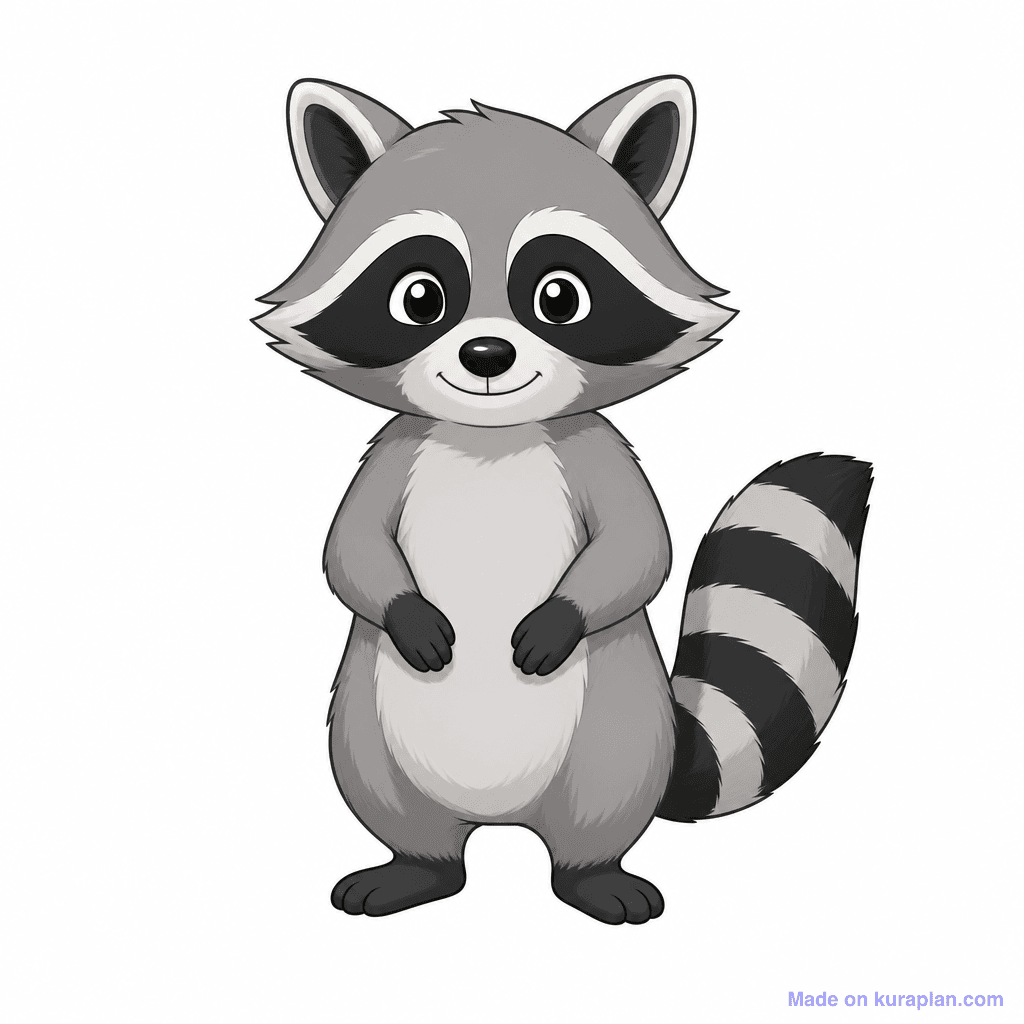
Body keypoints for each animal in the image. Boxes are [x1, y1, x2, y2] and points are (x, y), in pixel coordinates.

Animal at [254, 76, 872, 925]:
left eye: (559, 295)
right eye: (420, 297)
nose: (487, 355)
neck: (492, 437)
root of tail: (501, 819)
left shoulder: (596, 450)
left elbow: (640, 549)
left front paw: (562, 617)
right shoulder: (394, 450)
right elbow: (349, 549)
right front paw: (405, 609)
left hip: (619, 730)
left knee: (601, 805)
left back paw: (592, 874)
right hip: (366, 730)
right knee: (393, 801)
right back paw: (418, 866)